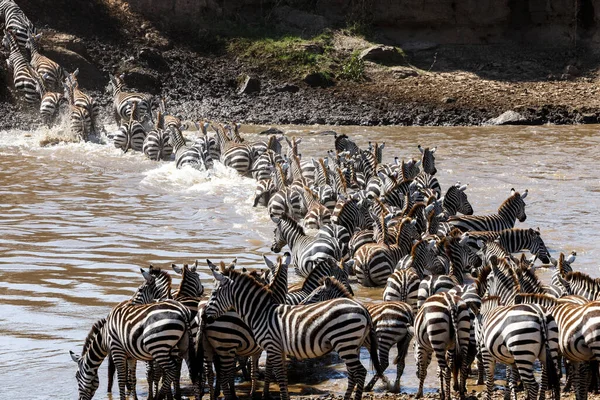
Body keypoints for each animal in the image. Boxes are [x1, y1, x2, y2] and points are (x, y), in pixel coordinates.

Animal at [200, 268, 380, 400]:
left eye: (214, 294)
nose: (203, 317)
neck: (261, 313)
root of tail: (362, 308)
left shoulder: (272, 346)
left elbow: (279, 375)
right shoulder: (277, 349)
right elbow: (283, 377)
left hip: (345, 342)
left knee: (360, 372)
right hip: (352, 345)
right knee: (353, 374)